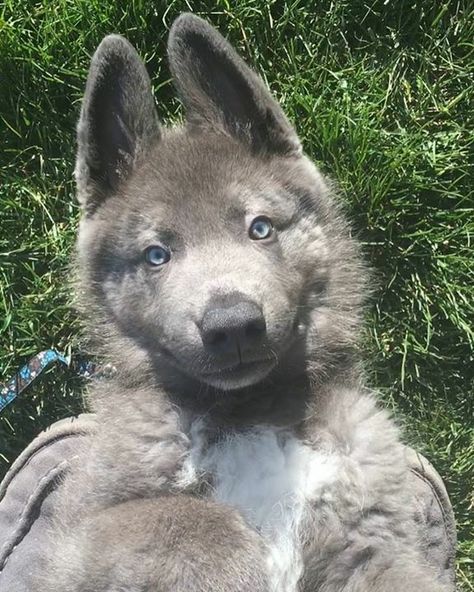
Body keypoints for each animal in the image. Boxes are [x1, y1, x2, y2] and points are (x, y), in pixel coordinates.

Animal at [45, 12, 452, 592]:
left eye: (260, 227)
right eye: (156, 255)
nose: (232, 325)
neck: (252, 413)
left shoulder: (376, 542)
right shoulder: (79, 534)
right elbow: (193, 517)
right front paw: (243, 557)